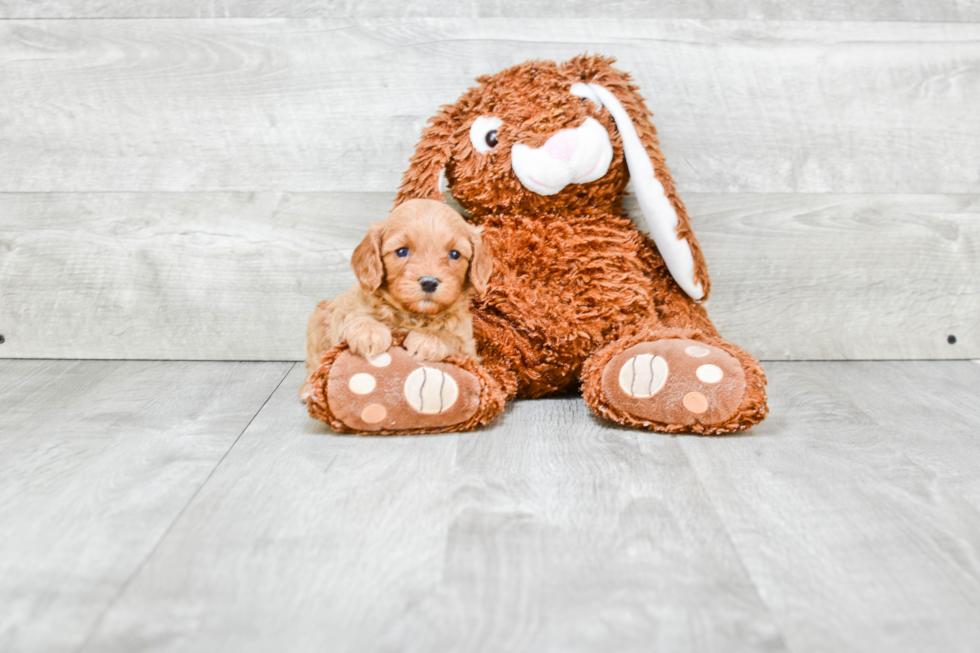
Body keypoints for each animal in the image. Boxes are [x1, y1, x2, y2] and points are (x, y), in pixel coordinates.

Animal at [300, 199, 490, 400]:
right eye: (402, 251)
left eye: (454, 254)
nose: (429, 282)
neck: (413, 315)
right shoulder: (350, 309)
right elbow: (356, 318)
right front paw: (370, 333)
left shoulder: (468, 344)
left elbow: (453, 338)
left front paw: (429, 338)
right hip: (317, 325)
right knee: (315, 361)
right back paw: (308, 389)